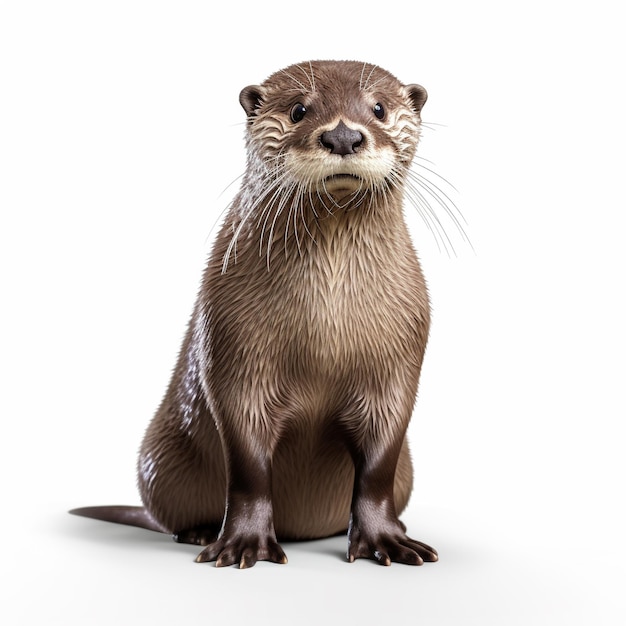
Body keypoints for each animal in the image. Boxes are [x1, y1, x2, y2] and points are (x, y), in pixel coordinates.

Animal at [72, 61, 438, 568]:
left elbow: (379, 464)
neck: (325, 326)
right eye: (299, 109)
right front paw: (243, 542)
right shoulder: (233, 344)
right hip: (161, 457)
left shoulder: (398, 358)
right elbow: (246, 460)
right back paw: (200, 531)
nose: (343, 136)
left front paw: (387, 539)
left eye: (380, 108)